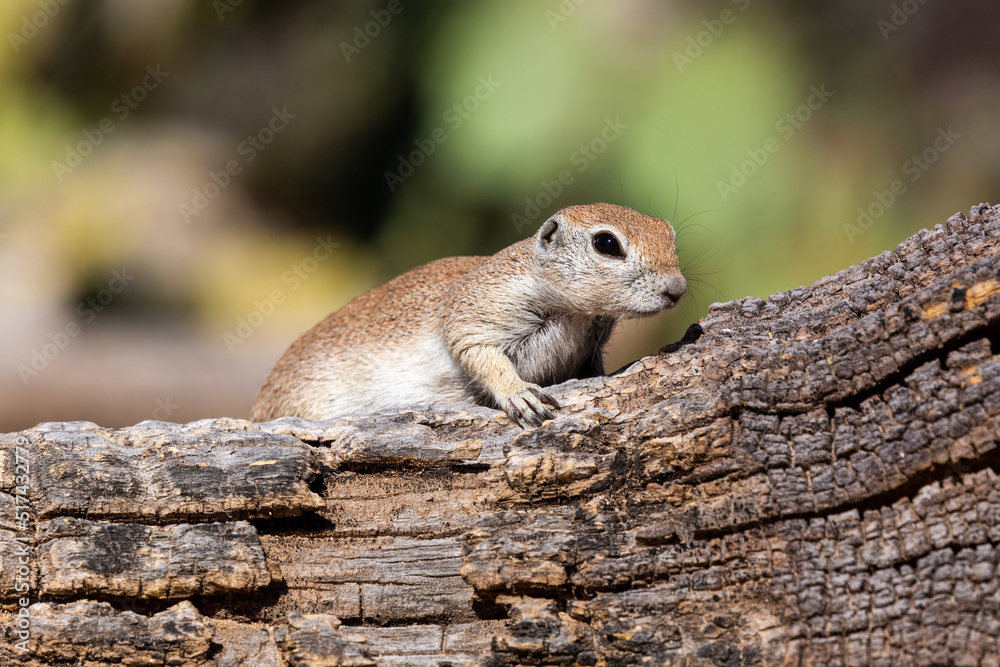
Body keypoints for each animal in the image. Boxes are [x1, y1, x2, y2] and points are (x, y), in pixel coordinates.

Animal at [251, 203, 686, 427]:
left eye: (670, 234)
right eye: (606, 243)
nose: (678, 288)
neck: (574, 314)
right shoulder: (477, 314)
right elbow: (481, 354)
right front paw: (519, 394)